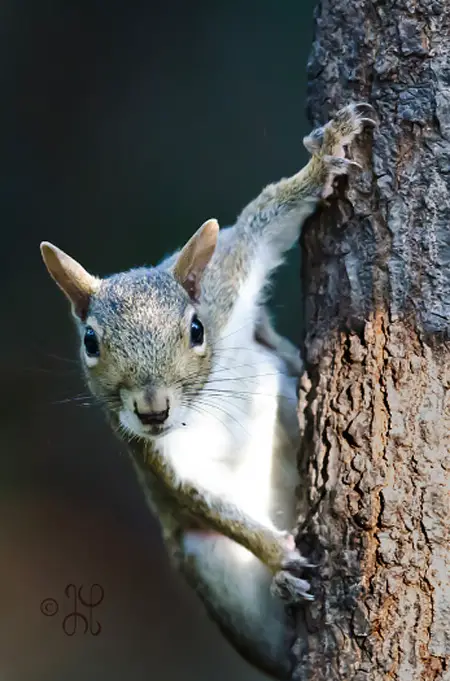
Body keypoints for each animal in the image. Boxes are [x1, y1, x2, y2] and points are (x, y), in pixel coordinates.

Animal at [40, 103, 376, 676]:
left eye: (196, 329)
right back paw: (284, 588)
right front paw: (279, 555)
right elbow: (203, 498)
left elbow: (268, 218)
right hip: (209, 565)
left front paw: (322, 160)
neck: (203, 402)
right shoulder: (159, 457)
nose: (152, 411)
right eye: (89, 342)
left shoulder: (226, 285)